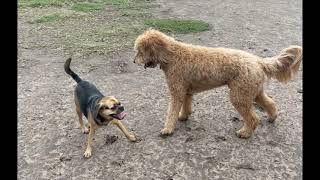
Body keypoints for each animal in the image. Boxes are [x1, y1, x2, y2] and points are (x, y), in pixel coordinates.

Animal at [132, 29, 302, 139]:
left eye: (139, 51)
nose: (134, 61)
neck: (173, 55)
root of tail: (259, 61)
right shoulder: (186, 91)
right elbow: (185, 107)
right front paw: (183, 116)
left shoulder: (177, 91)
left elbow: (172, 111)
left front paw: (167, 129)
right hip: (253, 92)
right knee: (270, 103)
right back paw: (272, 117)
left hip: (239, 95)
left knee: (254, 118)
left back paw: (245, 133)